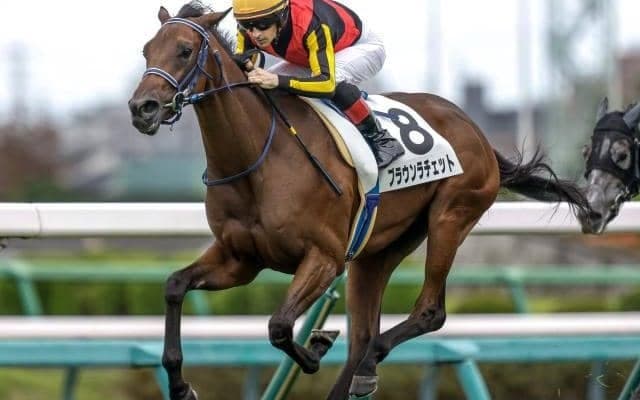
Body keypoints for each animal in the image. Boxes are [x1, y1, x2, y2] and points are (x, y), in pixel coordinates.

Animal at [128, 3, 591, 399]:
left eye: (185, 50)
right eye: (147, 49)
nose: (141, 108)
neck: (257, 159)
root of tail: (475, 130)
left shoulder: (325, 258)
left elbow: (279, 326)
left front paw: (315, 348)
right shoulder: (239, 259)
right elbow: (174, 286)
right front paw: (179, 385)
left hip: (450, 217)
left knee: (427, 312)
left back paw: (370, 364)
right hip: (378, 251)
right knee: (363, 336)